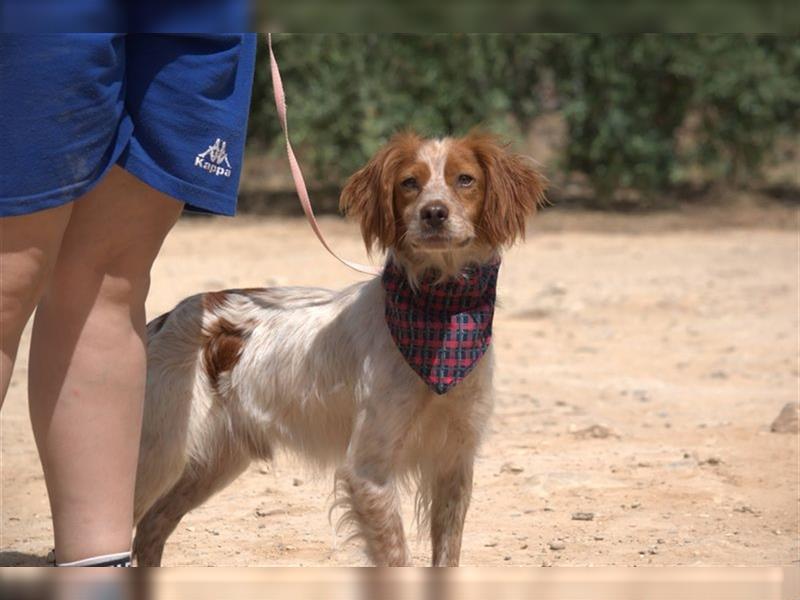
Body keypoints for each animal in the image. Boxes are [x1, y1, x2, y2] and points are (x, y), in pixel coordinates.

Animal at [133, 131, 544, 568]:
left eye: (465, 179)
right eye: (409, 183)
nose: (434, 213)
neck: (441, 316)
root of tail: (165, 319)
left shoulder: (454, 461)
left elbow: (446, 556)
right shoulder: (368, 469)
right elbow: (396, 556)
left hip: (211, 462)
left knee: (152, 526)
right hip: (158, 453)